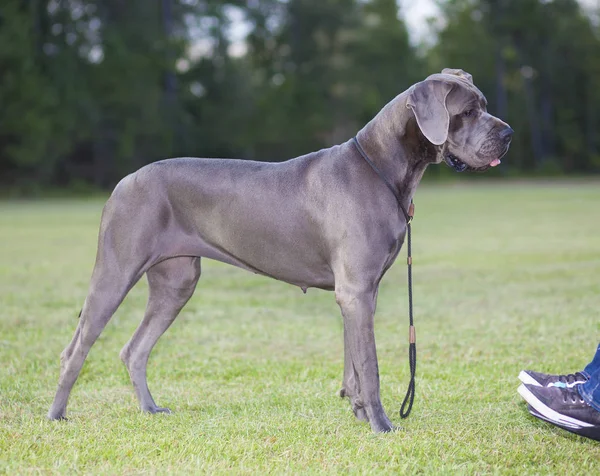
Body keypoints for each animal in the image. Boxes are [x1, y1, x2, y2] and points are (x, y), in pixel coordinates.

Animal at [49, 69, 512, 432]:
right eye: (466, 112)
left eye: (485, 105)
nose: (508, 133)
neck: (383, 168)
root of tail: (124, 181)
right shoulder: (356, 290)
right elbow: (371, 365)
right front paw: (381, 425)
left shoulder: (362, 292)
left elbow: (353, 360)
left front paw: (360, 412)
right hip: (115, 272)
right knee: (76, 349)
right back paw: (57, 415)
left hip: (176, 282)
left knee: (135, 349)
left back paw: (149, 409)